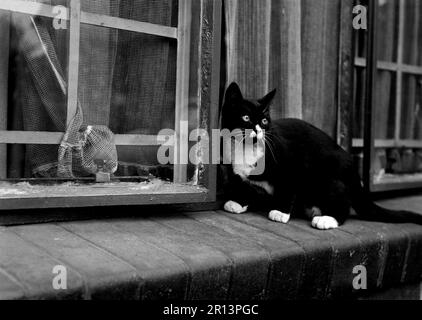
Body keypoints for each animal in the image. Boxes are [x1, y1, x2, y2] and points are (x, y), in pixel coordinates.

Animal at [221, 81, 422, 229]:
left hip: (327, 176)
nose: (258, 130)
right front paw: (238, 202)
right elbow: (242, 185)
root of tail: (352, 167)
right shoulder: (237, 174)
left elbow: (287, 189)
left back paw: (327, 219)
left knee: (343, 202)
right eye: (246, 118)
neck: (246, 149)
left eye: (264, 120)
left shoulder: (293, 164)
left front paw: (280, 212)